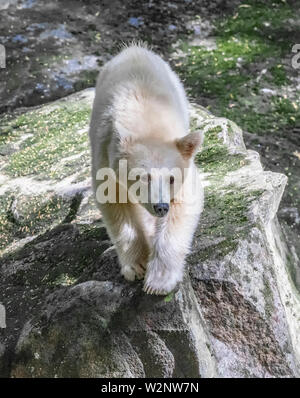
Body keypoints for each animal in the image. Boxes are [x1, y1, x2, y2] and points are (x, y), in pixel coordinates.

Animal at [89, 44, 204, 296]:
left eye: (171, 178)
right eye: (143, 177)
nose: (160, 207)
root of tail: (134, 49)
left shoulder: (182, 160)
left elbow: (183, 204)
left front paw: (159, 281)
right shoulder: (105, 154)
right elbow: (115, 201)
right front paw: (136, 265)